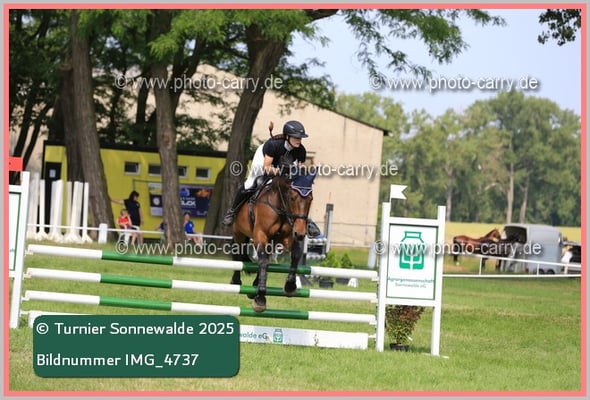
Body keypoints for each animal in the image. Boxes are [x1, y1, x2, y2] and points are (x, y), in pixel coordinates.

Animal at [229, 169, 316, 312]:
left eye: (311, 199)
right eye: (292, 198)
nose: (300, 233)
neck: (280, 207)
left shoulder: (287, 237)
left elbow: (295, 254)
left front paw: (290, 286)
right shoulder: (261, 235)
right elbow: (263, 261)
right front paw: (260, 299)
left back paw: (254, 285)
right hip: (239, 232)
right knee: (238, 252)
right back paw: (236, 281)